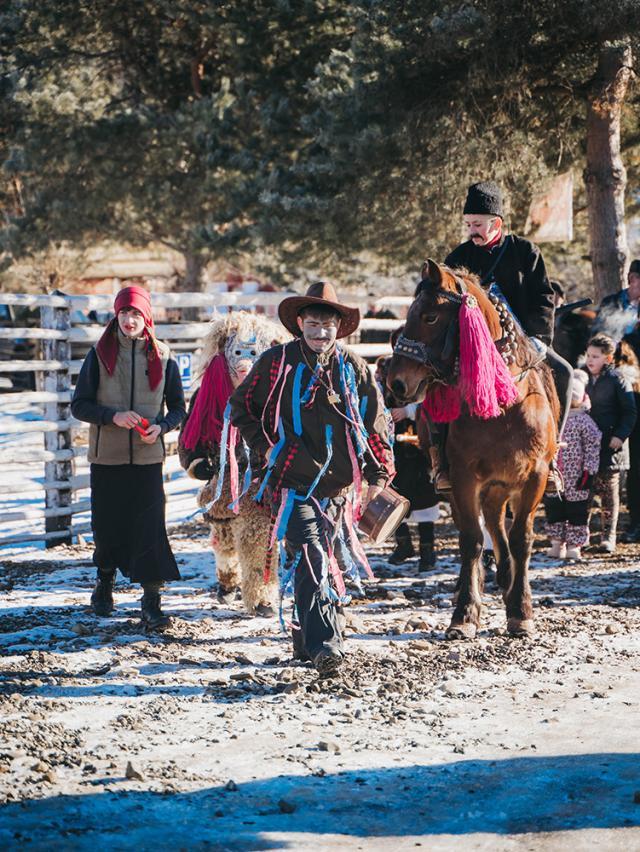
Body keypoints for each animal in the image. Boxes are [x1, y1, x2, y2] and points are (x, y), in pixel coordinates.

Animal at [384, 260, 556, 640]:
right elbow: (472, 540)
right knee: (487, 526)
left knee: (499, 527)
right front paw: (464, 614)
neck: (502, 405)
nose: (396, 384)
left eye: (430, 316)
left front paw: (521, 611)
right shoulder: (464, 479)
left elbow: (521, 538)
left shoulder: (534, 478)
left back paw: (507, 581)